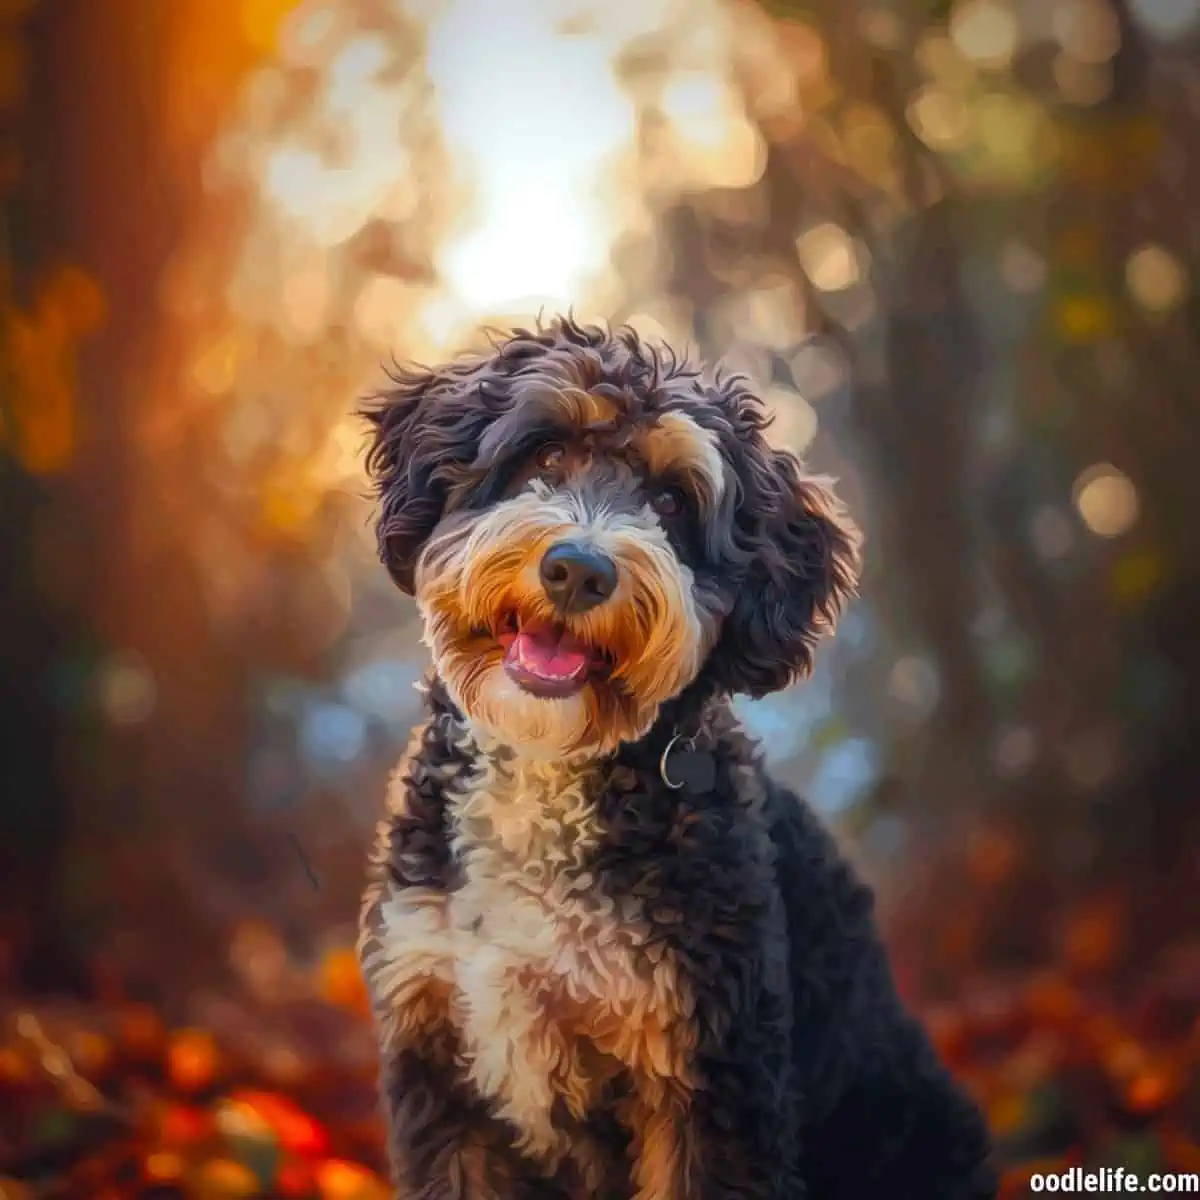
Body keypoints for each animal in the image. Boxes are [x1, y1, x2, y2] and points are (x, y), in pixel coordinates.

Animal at [355, 314, 993, 1195]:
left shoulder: (708, 1070)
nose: (578, 569)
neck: (549, 773)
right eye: (544, 457)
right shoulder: (437, 1054)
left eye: (669, 500)